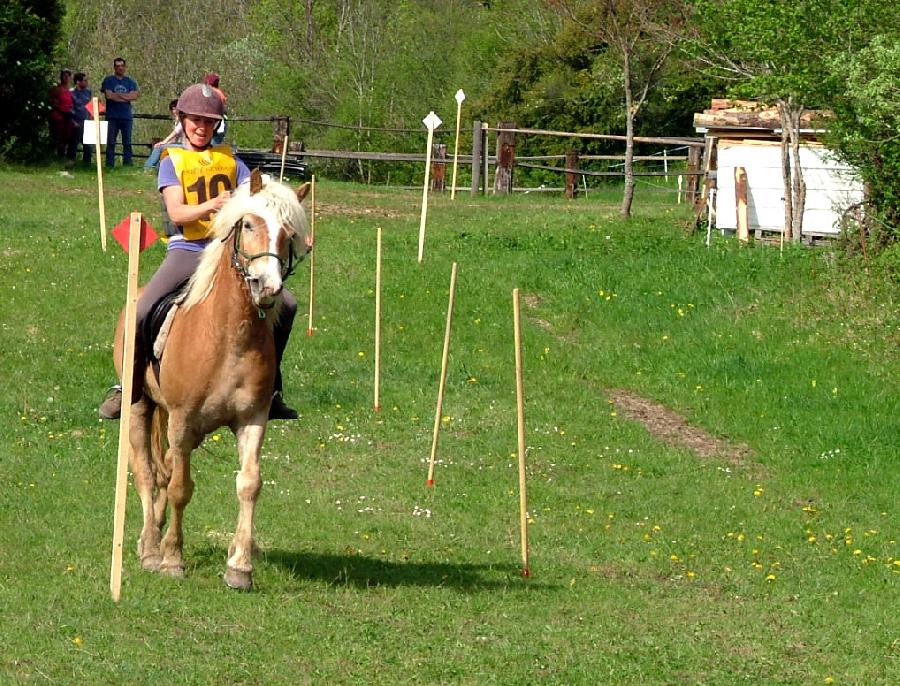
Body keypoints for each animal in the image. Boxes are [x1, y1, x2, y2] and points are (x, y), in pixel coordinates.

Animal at [113, 176, 310, 592]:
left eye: (289, 233)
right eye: (248, 224)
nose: (267, 287)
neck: (228, 337)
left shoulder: (252, 419)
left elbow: (249, 484)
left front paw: (240, 567)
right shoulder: (183, 420)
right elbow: (180, 489)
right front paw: (172, 558)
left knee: (167, 468)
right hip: (141, 409)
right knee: (147, 473)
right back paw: (150, 547)